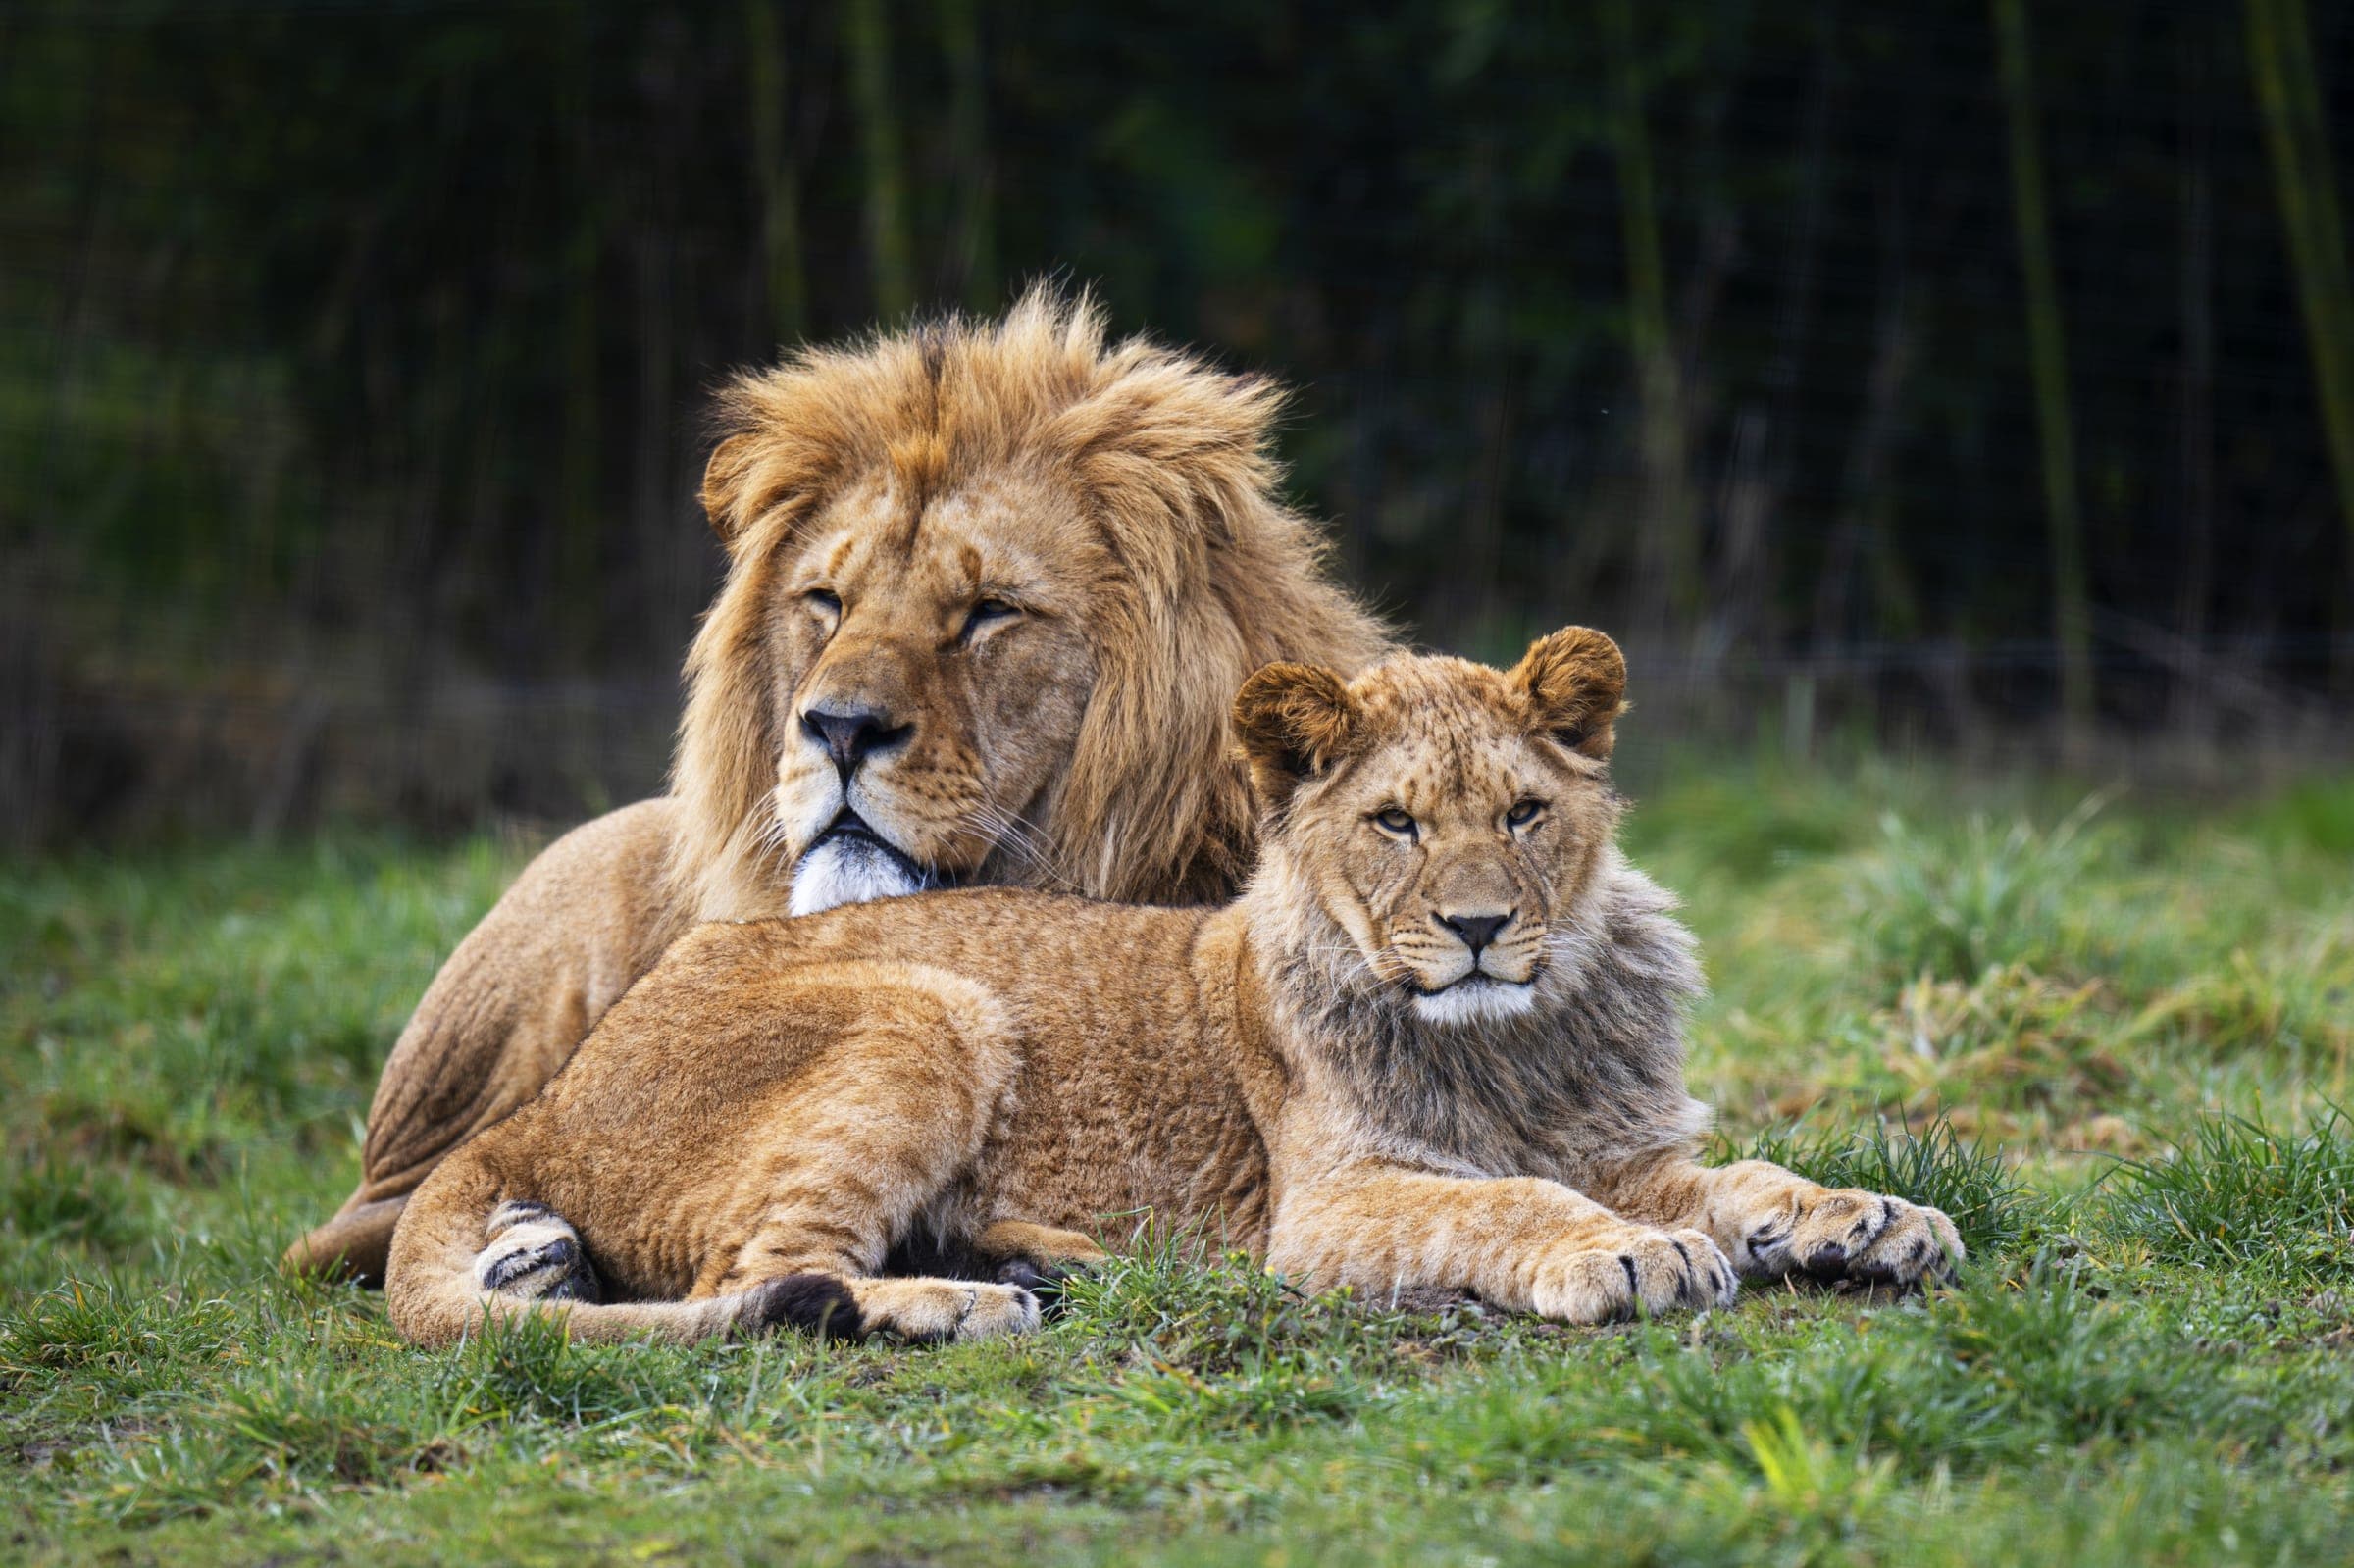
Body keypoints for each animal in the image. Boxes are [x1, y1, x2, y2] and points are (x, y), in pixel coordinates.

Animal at [385, 628, 1962, 1347]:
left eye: (1522, 813)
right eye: (1396, 822)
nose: (1476, 928)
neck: (1511, 1036)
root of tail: (544, 1100)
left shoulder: (1628, 1145)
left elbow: (1749, 1175)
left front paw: (1871, 1218)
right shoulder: (1328, 1207)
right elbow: (1506, 1198)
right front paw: (1629, 1257)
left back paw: (1031, 1265)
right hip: (928, 1002)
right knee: (760, 1280)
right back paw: (960, 1304)